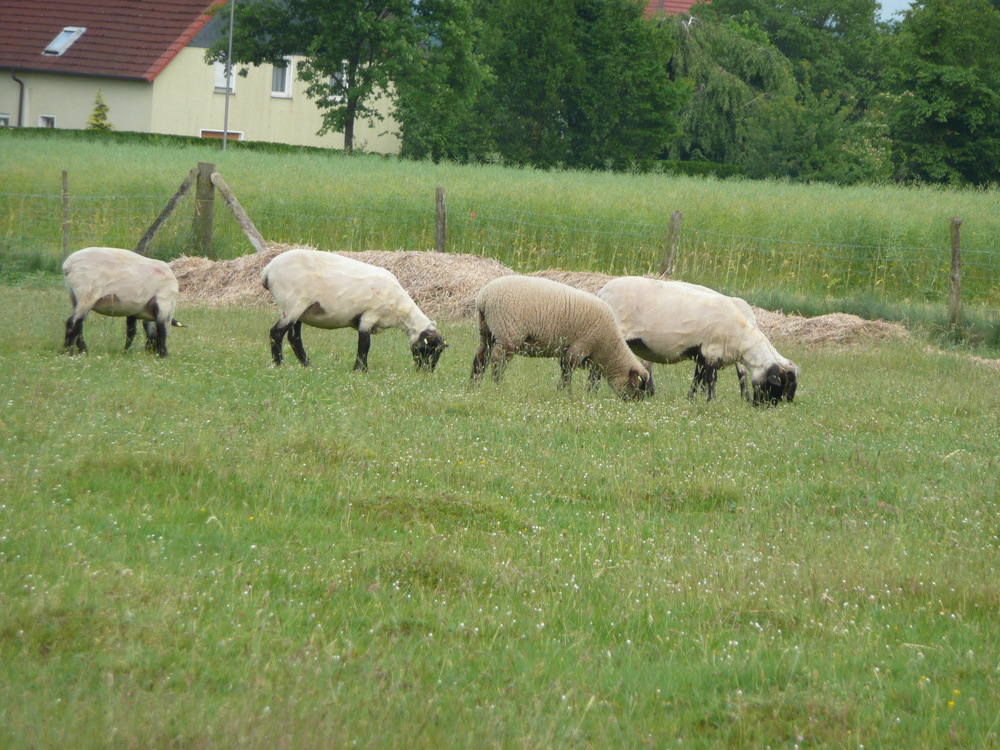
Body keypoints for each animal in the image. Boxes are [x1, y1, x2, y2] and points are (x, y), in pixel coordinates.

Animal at [262, 250, 446, 374]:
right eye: (429, 349)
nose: (426, 373)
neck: (400, 310)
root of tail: (267, 270)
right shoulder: (369, 315)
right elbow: (364, 345)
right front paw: (361, 370)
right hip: (292, 304)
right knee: (276, 333)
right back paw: (279, 364)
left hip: (300, 309)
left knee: (294, 337)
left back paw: (307, 364)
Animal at [470, 276, 652, 402]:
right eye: (639, 388)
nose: (636, 404)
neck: (608, 348)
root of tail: (484, 298)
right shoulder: (579, 347)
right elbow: (567, 372)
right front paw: (565, 393)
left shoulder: (575, 351)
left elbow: (568, 371)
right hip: (508, 332)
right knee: (497, 360)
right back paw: (498, 384)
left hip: (486, 330)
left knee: (481, 357)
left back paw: (473, 385)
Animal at [592, 274, 796, 406]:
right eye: (775, 385)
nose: (765, 407)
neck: (740, 338)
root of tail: (602, 292)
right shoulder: (711, 351)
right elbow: (711, 380)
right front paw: (711, 402)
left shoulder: (702, 355)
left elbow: (698, 379)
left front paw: (691, 399)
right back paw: (592, 391)